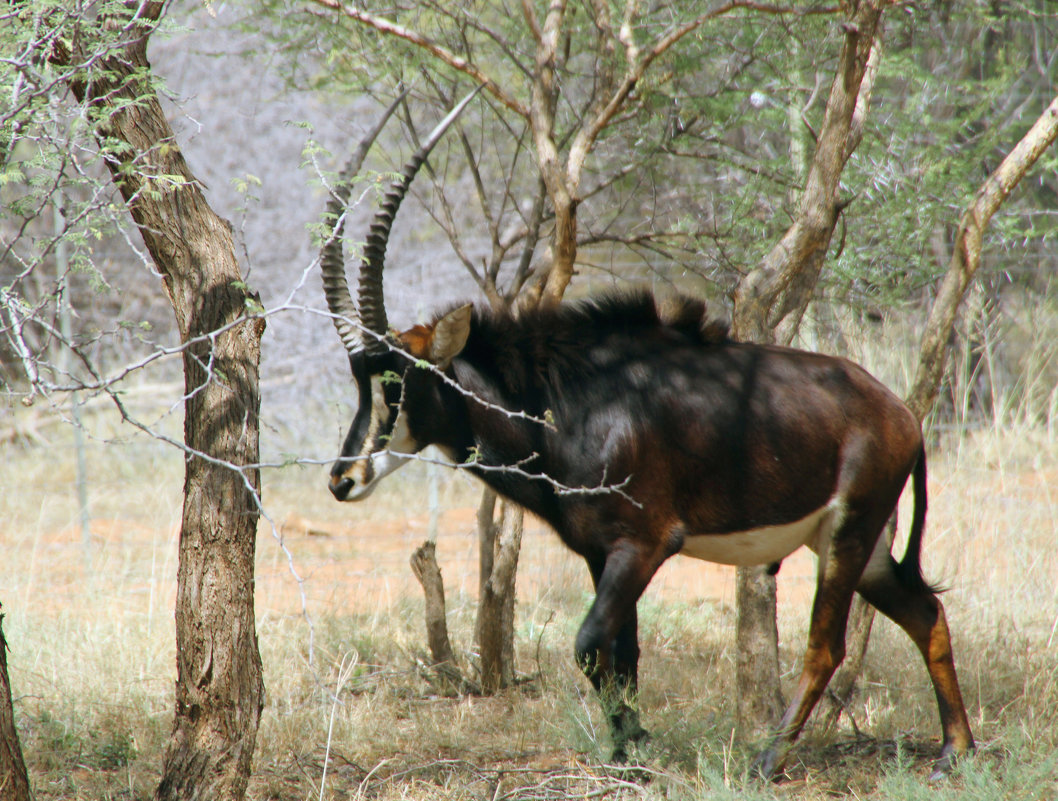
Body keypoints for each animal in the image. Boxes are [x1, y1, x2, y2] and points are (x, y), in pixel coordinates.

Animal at [319, 90, 973, 778]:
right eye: (359, 380)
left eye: (398, 380)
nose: (342, 479)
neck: (564, 401)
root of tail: (901, 414)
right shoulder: (599, 552)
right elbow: (622, 652)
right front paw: (629, 746)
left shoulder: (644, 545)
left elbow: (588, 645)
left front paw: (631, 750)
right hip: (861, 546)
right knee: (926, 612)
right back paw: (954, 751)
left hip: (848, 534)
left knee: (828, 645)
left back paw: (768, 759)